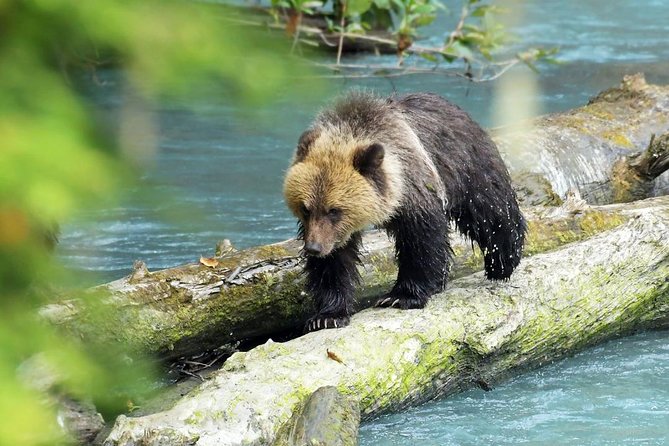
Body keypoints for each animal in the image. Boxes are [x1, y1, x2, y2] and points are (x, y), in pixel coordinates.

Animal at [283, 91, 526, 332]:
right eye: (305, 208)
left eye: (334, 210)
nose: (314, 248)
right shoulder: (332, 233)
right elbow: (334, 263)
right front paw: (327, 316)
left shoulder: (416, 189)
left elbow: (421, 241)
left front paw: (401, 296)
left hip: (467, 167)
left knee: (491, 213)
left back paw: (502, 263)